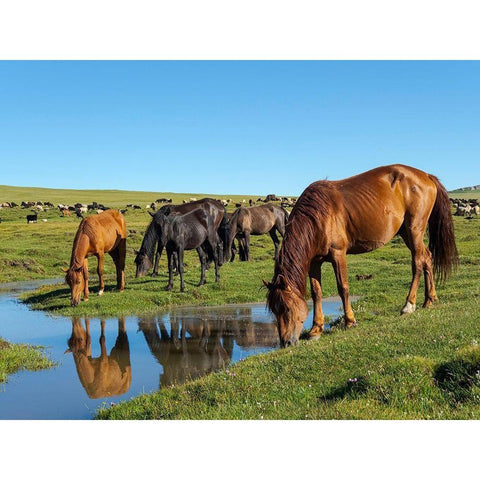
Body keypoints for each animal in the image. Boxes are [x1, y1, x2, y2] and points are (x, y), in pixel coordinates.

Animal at [266, 164, 458, 344]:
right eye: (274, 310)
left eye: (287, 308)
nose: (286, 343)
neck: (318, 216)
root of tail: (427, 176)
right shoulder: (314, 261)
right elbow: (316, 293)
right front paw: (316, 329)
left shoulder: (338, 254)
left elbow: (343, 287)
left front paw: (350, 321)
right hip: (406, 233)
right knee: (427, 257)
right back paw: (430, 300)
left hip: (414, 230)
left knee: (418, 262)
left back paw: (409, 305)